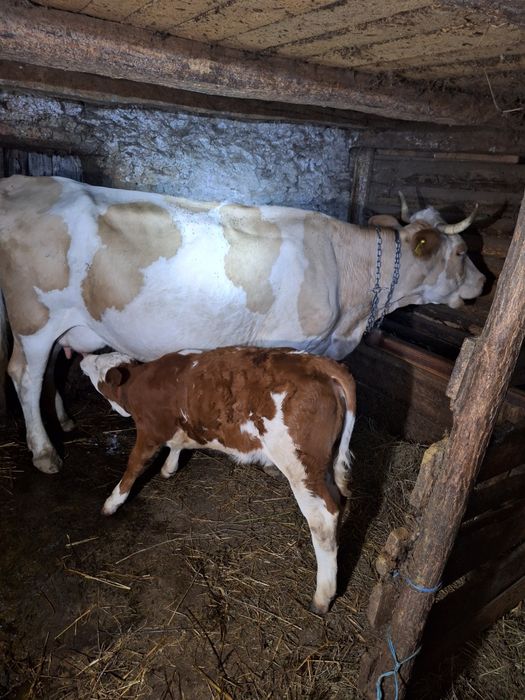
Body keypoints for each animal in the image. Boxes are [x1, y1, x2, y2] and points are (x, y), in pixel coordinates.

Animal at [0, 175, 485, 474]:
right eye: (461, 251)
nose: (483, 281)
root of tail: (24, 181)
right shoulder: (292, 341)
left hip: (64, 324)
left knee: (52, 369)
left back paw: (63, 422)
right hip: (35, 318)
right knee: (25, 374)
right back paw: (44, 453)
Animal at [80, 346, 356, 614]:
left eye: (98, 366)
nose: (83, 359)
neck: (141, 381)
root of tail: (317, 362)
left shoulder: (149, 432)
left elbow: (133, 467)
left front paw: (112, 502)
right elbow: (177, 445)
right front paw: (169, 468)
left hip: (300, 466)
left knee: (323, 520)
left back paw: (322, 596)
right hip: (325, 464)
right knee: (338, 501)